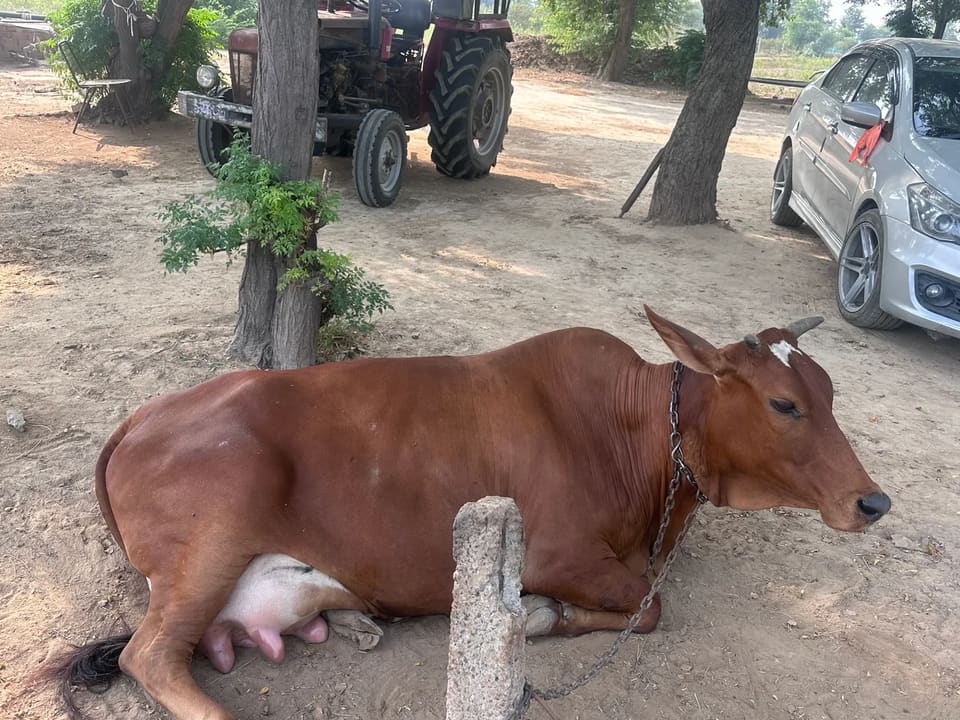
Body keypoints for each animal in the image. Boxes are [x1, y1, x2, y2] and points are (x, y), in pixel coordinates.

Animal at [37, 307, 889, 720]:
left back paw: (350, 618)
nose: (872, 500)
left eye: (830, 393)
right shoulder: (557, 553)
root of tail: (141, 416)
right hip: (212, 537)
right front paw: (541, 616)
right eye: (783, 403)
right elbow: (649, 610)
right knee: (148, 655)